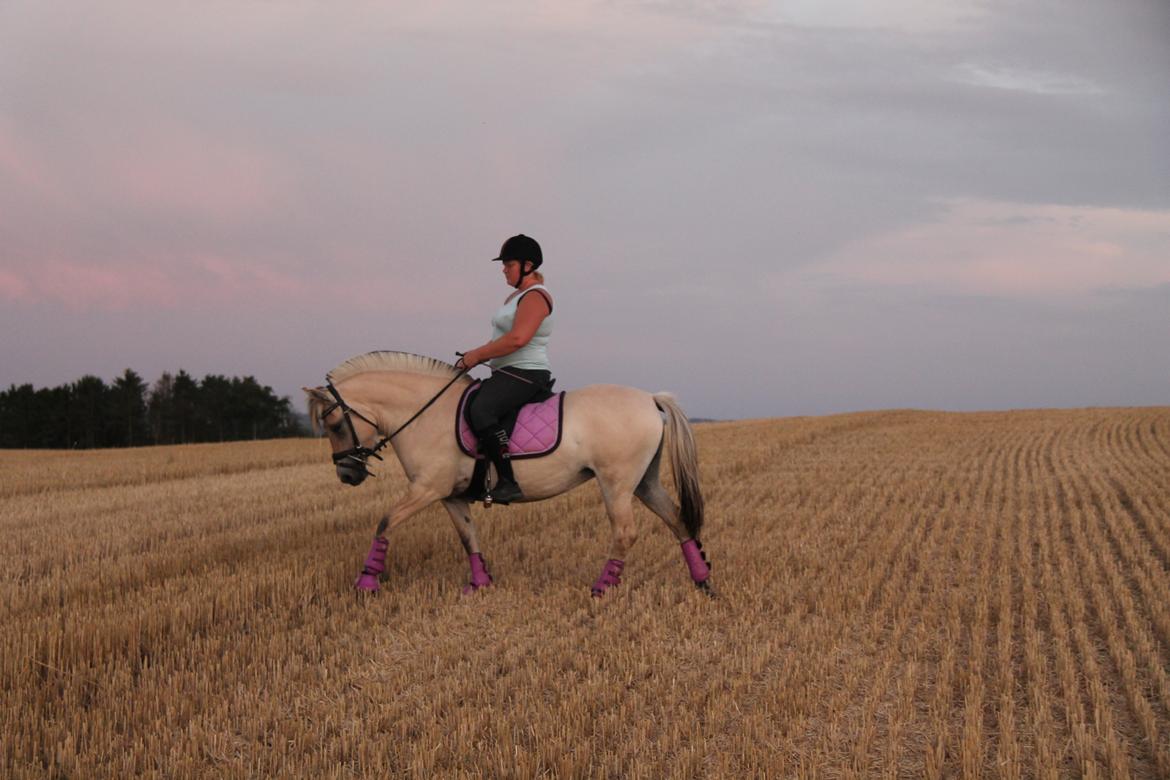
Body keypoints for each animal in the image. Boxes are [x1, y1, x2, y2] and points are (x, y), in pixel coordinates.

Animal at [301, 353, 711, 598]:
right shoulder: (451, 496)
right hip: (644, 482)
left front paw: (366, 582)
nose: (346, 473)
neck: (427, 414)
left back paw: (602, 586)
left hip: (617, 484)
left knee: (626, 532)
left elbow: (385, 522)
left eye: (335, 425)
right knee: (677, 520)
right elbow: (469, 538)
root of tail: (650, 399)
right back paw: (703, 580)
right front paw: (480, 584)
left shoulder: (427, 489)